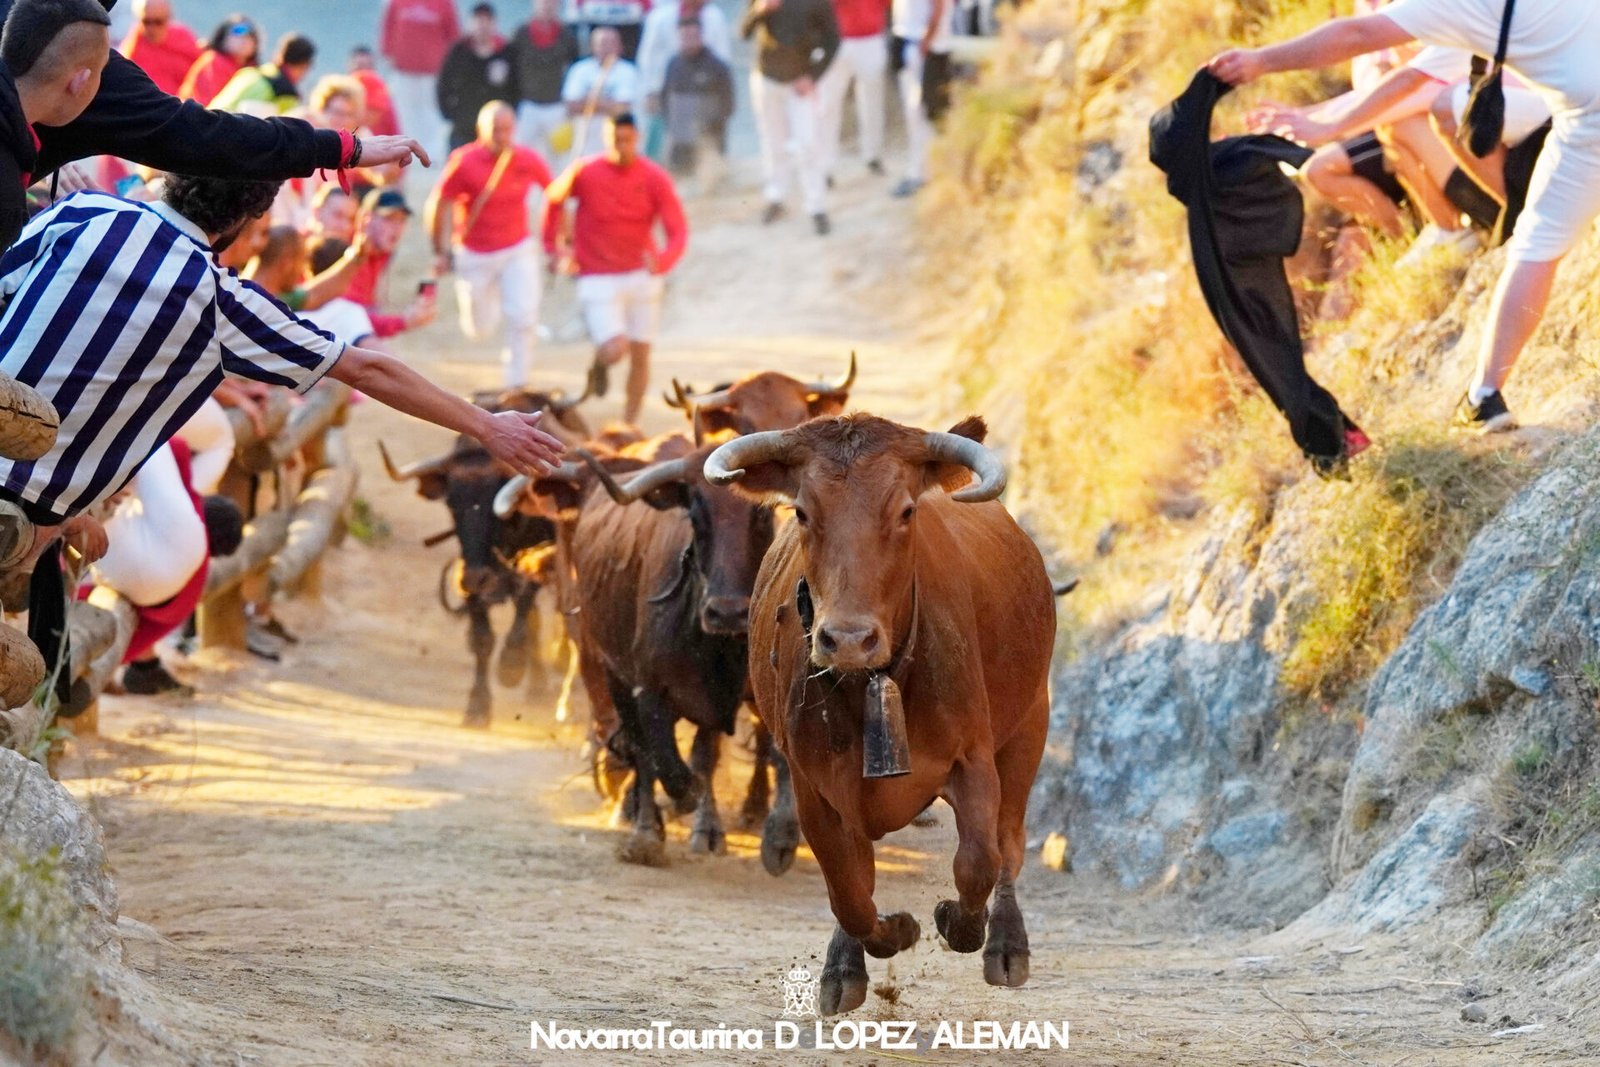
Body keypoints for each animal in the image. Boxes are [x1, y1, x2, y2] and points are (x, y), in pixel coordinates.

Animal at [707, 412, 1056, 1017]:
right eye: (803, 511)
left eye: (906, 511)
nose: (848, 639)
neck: (873, 681)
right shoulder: (815, 789)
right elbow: (850, 892)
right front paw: (888, 936)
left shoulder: (974, 760)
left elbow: (978, 862)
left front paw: (955, 922)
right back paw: (846, 965)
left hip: (1029, 728)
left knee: (1010, 841)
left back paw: (1006, 946)